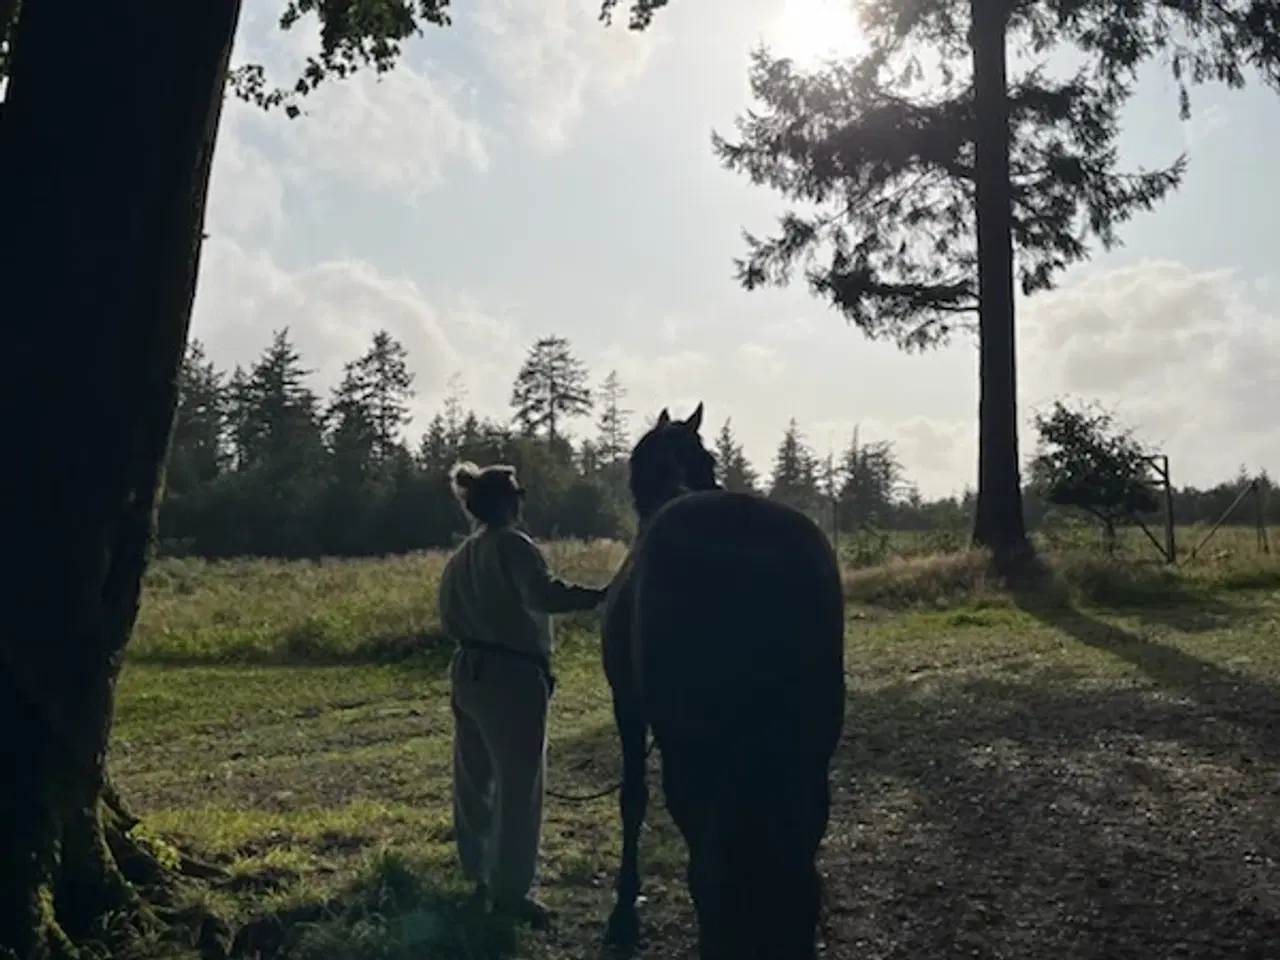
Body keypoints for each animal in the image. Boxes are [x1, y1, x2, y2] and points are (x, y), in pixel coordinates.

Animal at [601, 401, 849, 957]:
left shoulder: (628, 705)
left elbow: (632, 799)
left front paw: (625, 903)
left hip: (694, 753)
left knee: (711, 865)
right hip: (809, 747)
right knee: (798, 859)